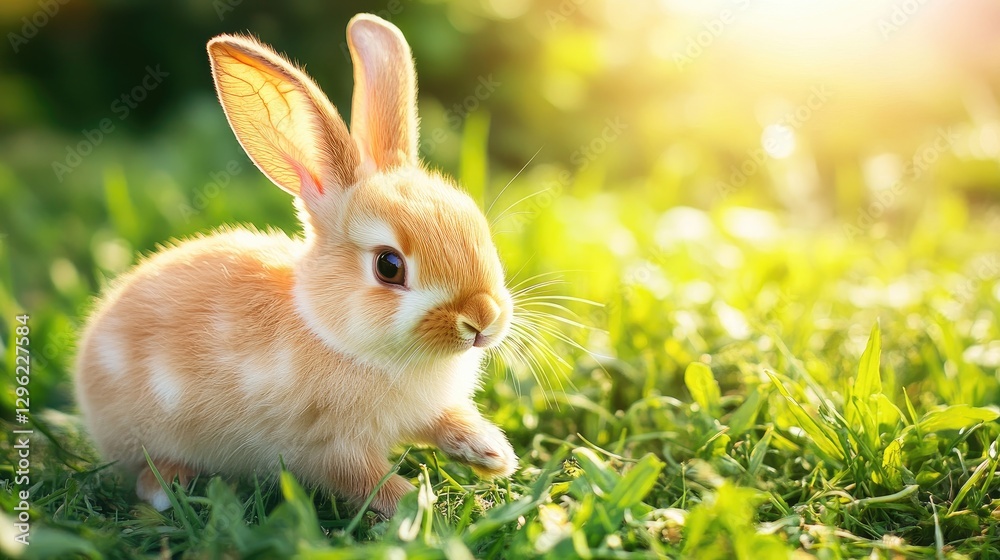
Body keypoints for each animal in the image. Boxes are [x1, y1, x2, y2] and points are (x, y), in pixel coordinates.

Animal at [74, 13, 518, 517]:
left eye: (476, 223)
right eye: (389, 266)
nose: (482, 318)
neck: (332, 333)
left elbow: (448, 421)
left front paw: (494, 455)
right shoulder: (329, 447)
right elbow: (365, 480)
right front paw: (421, 507)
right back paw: (167, 488)